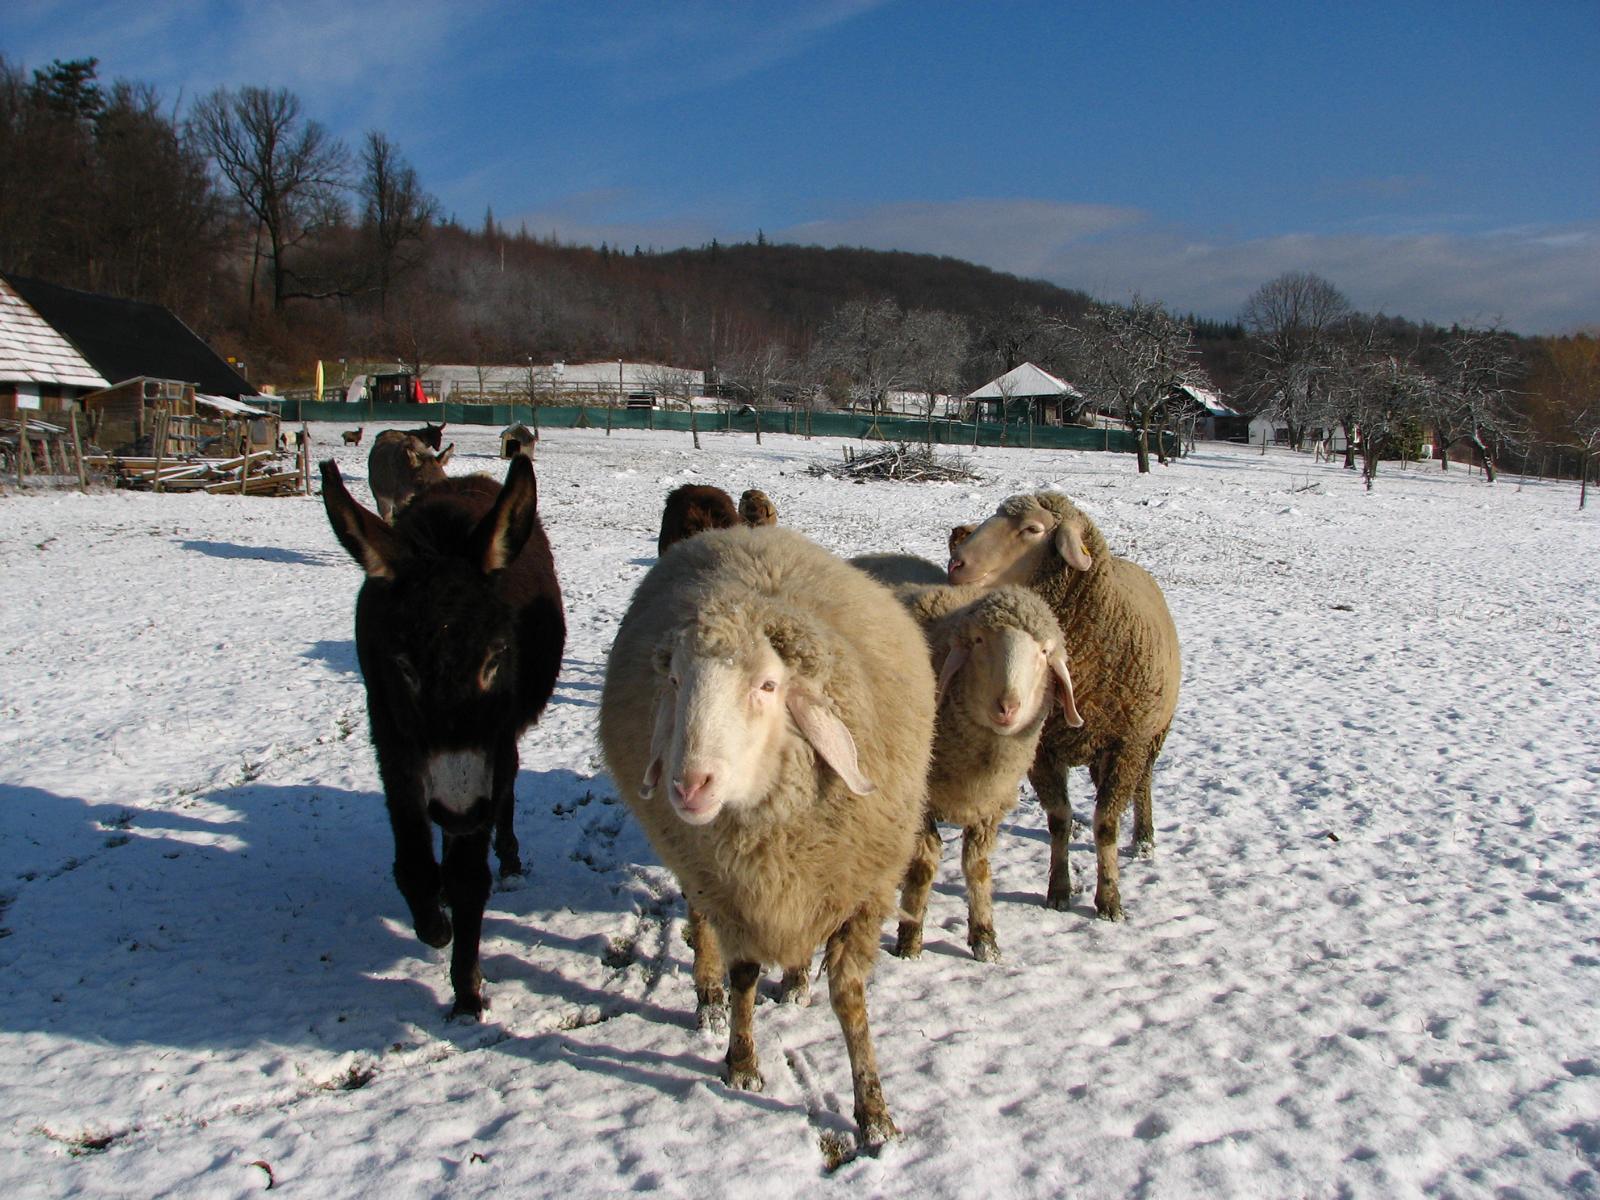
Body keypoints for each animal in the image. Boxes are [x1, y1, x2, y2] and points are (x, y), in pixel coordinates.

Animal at [595, 524, 934, 1145]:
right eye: (674, 680)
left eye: (769, 685)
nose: (689, 784)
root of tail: (739, 529)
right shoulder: (732, 893)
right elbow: (745, 974)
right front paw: (742, 1061)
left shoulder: (861, 891)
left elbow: (850, 997)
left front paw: (873, 1113)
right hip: (696, 870)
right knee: (699, 923)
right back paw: (707, 997)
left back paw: (796, 979)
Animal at [947, 492, 1177, 928]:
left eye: (1033, 529)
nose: (956, 565)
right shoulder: (1041, 749)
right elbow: (1058, 819)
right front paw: (1059, 890)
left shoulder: (1126, 743)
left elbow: (1106, 823)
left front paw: (1109, 900)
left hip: (1153, 733)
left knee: (1144, 782)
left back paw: (1144, 838)